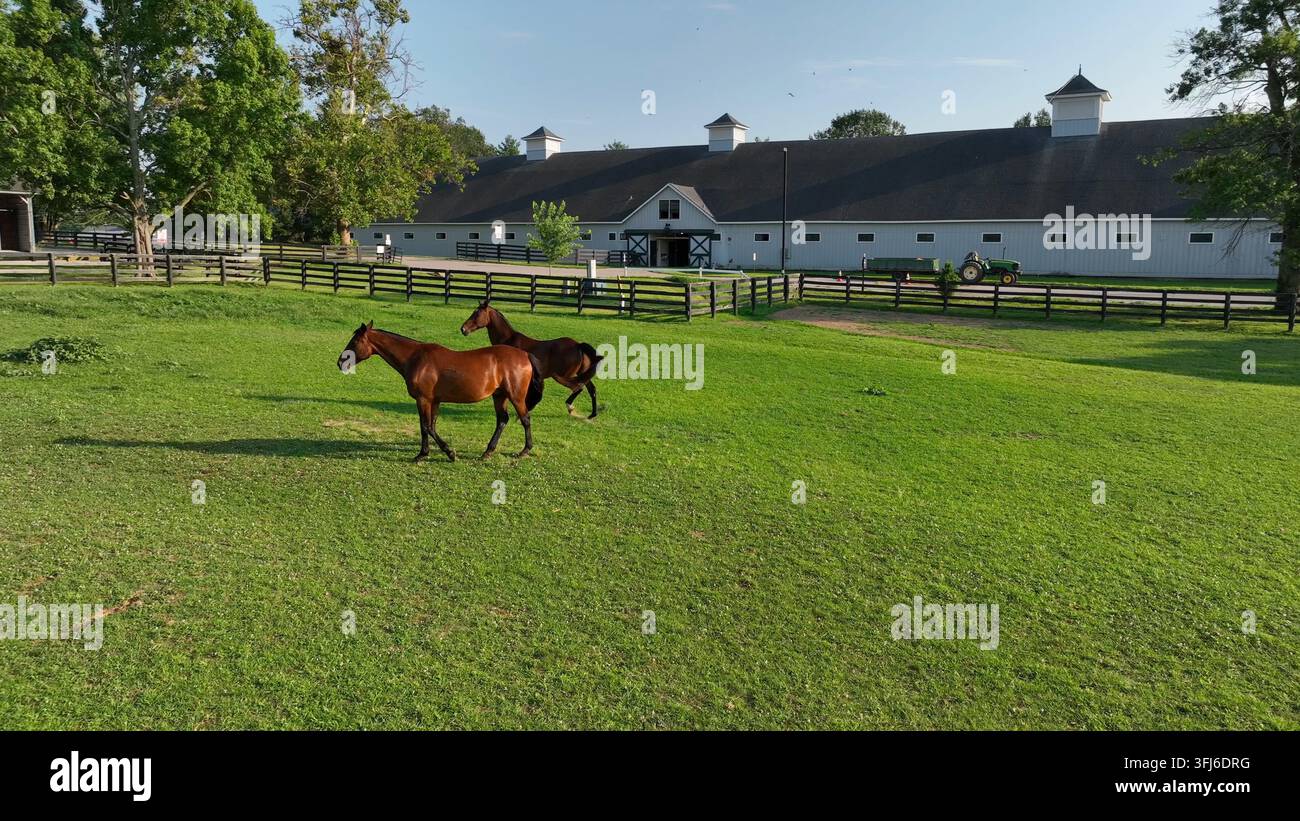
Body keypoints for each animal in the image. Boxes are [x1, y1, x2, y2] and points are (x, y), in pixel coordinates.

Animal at [337, 321, 544, 462]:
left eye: (355, 341)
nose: (340, 362)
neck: (416, 358)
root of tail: (525, 355)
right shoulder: (434, 400)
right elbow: (431, 426)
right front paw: (433, 452)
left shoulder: (423, 399)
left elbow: (425, 427)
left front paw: (439, 453)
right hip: (499, 396)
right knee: (502, 420)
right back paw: (487, 452)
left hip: (516, 397)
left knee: (525, 419)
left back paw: (524, 450)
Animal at [459, 301, 604, 419]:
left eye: (477, 314)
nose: (463, 329)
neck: (508, 340)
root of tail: (578, 345)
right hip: (581, 374)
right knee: (591, 389)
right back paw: (592, 414)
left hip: (566, 375)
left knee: (578, 388)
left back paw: (570, 407)